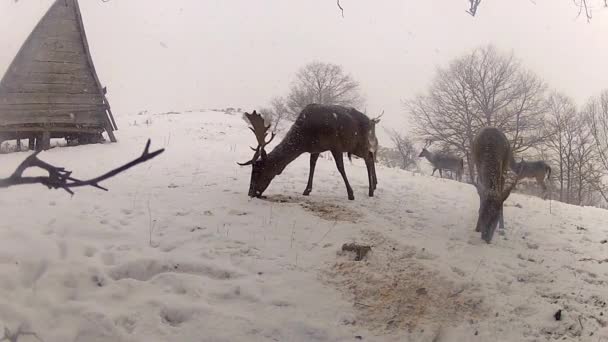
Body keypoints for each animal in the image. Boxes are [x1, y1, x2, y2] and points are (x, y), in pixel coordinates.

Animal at [238, 104, 380, 200]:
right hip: (354, 147)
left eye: (259, 171)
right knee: (370, 156)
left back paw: (371, 191)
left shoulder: (336, 145)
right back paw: (374, 185)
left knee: (369, 158)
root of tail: (371, 121)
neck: (306, 139)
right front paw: (307, 190)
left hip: (359, 143)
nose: (251, 193)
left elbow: (340, 168)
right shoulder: (316, 148)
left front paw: (351, 194)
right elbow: (312, 165)